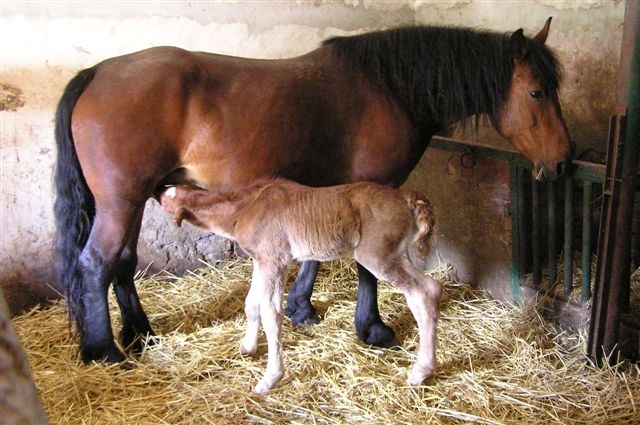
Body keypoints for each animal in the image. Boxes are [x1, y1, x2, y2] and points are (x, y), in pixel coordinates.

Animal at [160, 177, 440, 392]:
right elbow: (251, 304)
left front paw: (270, 378)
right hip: (396, 253)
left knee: (425, 291)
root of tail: (403, 196)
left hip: (377, 254)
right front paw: (248, 348)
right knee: (422, 294)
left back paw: (420, 372)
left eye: (164, 201)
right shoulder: (260, 261)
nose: (159, 191)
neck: (246, 206)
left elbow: (271, 313)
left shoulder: (275, 260)